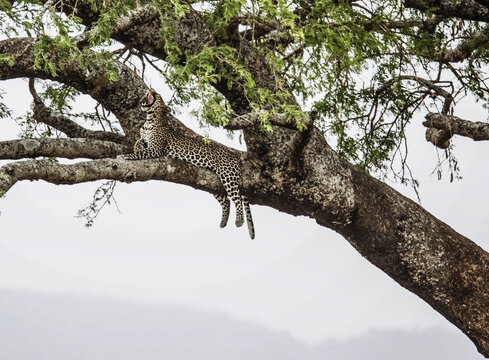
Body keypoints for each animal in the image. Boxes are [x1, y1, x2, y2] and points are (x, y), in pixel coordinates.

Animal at [118, 88, 255, 239]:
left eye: (158, 95)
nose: (152, 89)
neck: (148, 121)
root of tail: (235, 156)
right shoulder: (146, 141)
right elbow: (138, 142)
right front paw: (136, 146)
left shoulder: (155, 149)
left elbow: (138, 153)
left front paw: (124, 155)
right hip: (212, 182)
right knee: (226, 200)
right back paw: (223, 222)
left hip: (227, 175)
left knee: (237, 198)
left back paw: (239, 221)